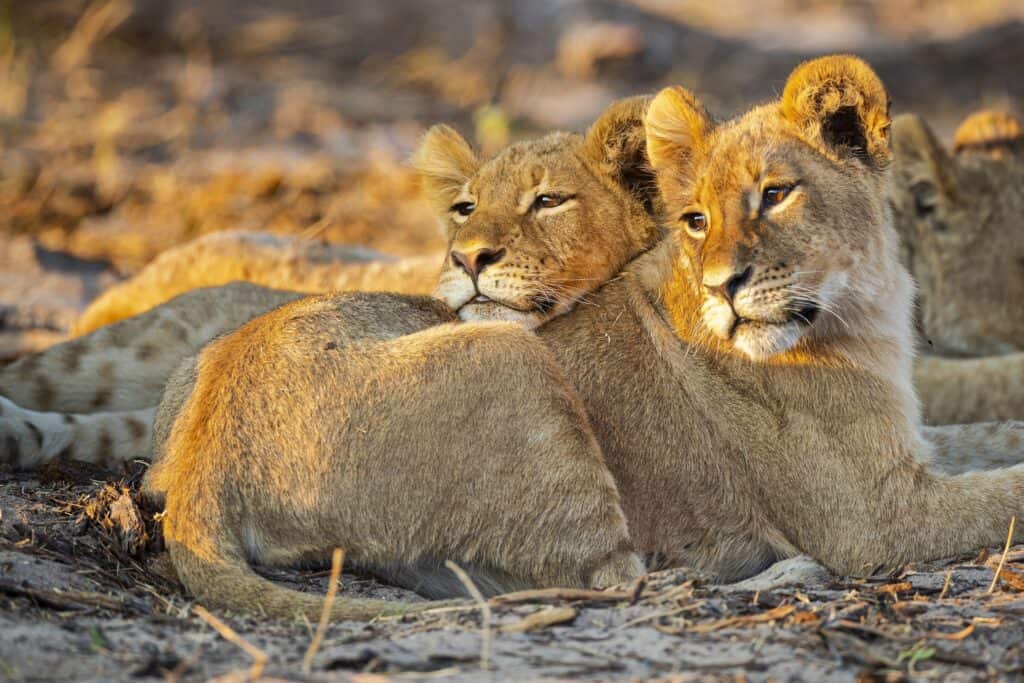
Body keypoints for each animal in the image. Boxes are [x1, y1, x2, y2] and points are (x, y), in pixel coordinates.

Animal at [132, 56, 1024, 619]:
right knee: (611, 579)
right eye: (695, 218)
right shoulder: (876, 518)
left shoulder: (909, 447)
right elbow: (1007, 489)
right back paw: (772, 572)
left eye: (776, 194)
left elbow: (994, 436)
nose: (722, 289)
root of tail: (207, 460)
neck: (863, 309)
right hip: (514, 358)